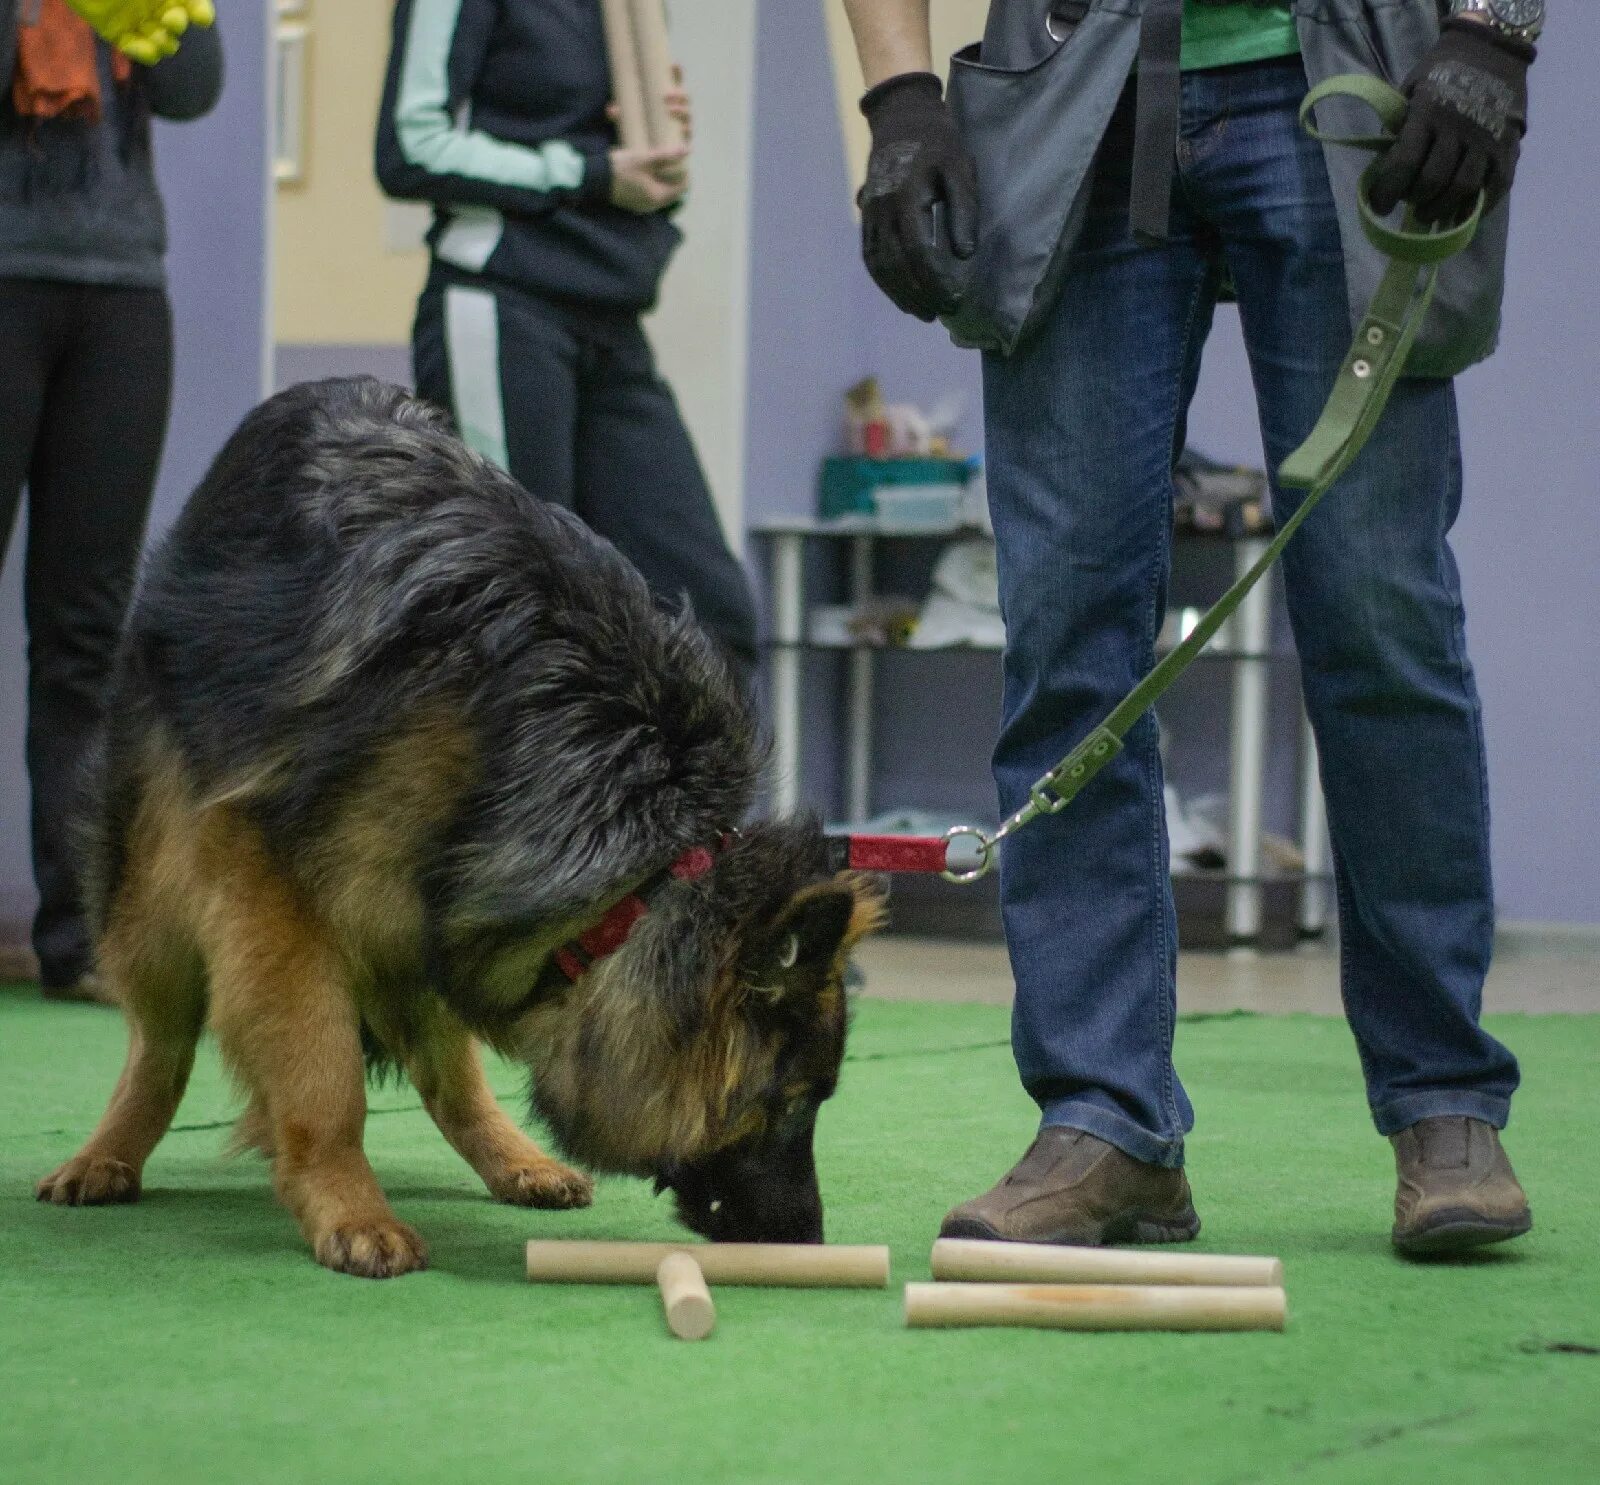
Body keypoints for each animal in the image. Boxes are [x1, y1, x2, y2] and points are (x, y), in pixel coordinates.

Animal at [34, 377, 889, 1267]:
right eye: (795, 1101)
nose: (811, 1237)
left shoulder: (455, 902)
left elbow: (438, 1066)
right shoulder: (274, 888)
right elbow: (322, 1070)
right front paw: (349, 1206)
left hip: (420, 915)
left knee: (446, 1071)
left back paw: (515, 1158)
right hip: (157, 883)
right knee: (159, 1041)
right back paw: (107, 1152)